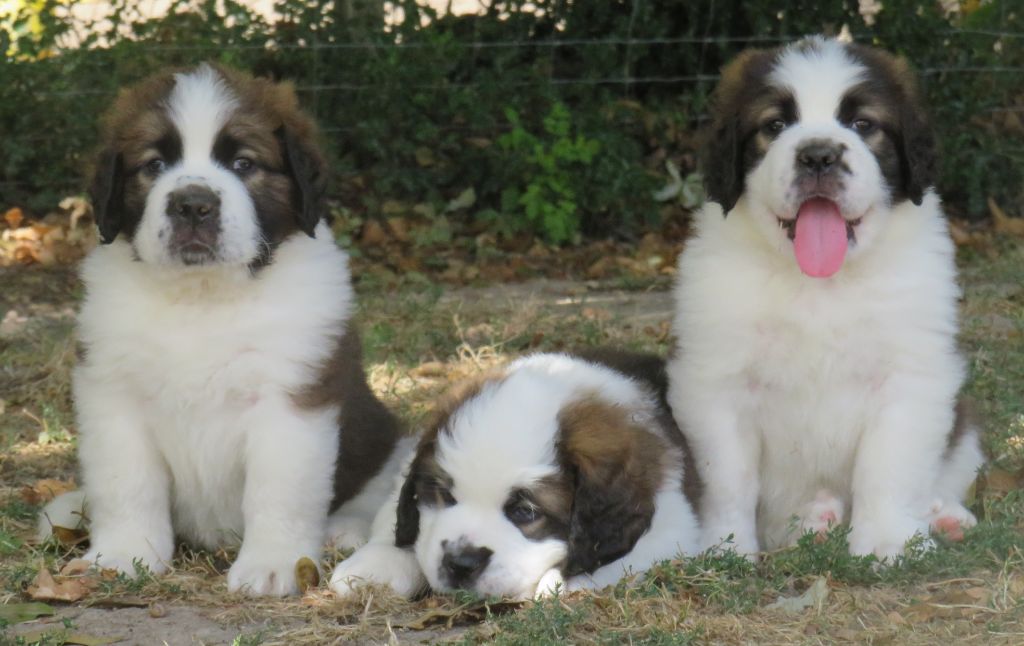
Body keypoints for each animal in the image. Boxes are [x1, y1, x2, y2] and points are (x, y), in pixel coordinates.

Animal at [331, 348, 700, 601]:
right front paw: (376, 564)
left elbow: (630, 553)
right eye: (445, 496)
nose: (461, 563)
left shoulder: (675, 523)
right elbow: (396, 518)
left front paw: (561, 580)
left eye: (525, 512)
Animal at [663, 36, 983, 561]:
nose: (817, 156)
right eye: (774, 126)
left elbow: (888, 466)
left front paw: (887, 541)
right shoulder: (715, 382)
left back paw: (943, 516)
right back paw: (814, 521)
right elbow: (727, 478)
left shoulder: (910, 377)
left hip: (964, 425)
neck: (819, 284)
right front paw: (724, 547)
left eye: (863, 125)